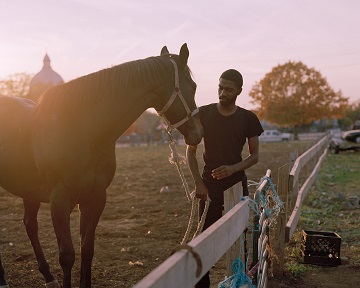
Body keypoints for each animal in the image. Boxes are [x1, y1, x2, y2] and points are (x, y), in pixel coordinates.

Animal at [0, 43, 202, 288]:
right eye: (193, 86)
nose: (197, 133)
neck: (82, 130)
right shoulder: (59, 202)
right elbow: (67, 256)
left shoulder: (95, 198)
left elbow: (87, 250)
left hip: (29, 190)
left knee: (30, 225)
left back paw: (47, 276)